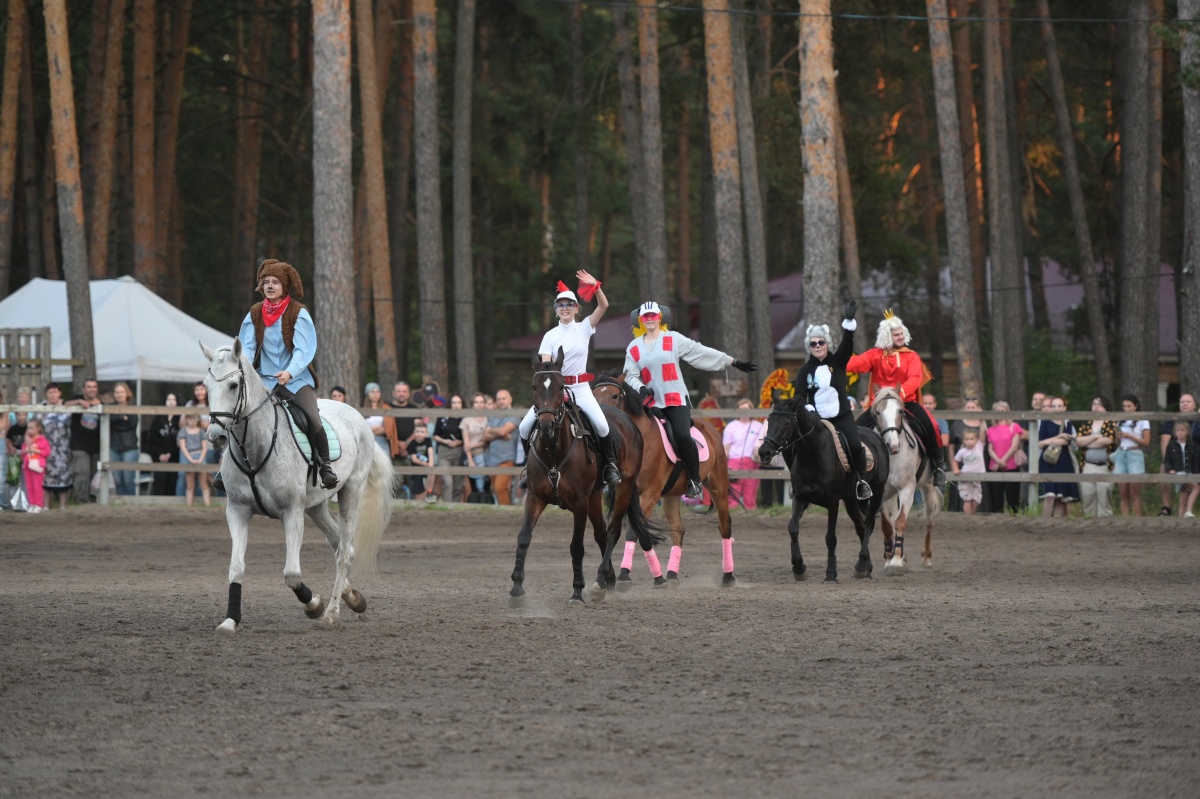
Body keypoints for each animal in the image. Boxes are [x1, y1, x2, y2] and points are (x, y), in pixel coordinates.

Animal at [201, 338, 393, 633]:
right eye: (206, 386)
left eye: (233, 385)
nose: (216, 436)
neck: (253, 448)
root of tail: (356, 415)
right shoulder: (237, 511)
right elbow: (236, 568)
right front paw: (230, 620)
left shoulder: (291, 512)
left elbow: (291, 574)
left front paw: (314, 605)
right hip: (315, 506)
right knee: (337, 542)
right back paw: (353, 598)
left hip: (351, 491)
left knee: (345, 552)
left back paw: (332, 612)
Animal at [501, 345, 662, 599]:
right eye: (535, 387)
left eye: (560, 386)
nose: (545, 426)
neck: (554, 451)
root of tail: (628, 421)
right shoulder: (535, 497)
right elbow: (524, 537)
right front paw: (516, 586)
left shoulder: (578, 503)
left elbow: (576, 546)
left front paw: (577, 591)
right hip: (595, 496)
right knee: (601, 533)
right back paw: (608, 579)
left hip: (623, 488)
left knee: (612, 531)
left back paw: (600, 579)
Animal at [592, 371, 739, 585]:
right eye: (593, 395)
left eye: (615, 396)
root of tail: (710, 428)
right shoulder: (626, 492)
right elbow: (634, 531)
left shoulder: (650, 494)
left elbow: (632, 532)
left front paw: (624, 574)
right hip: (671, 494)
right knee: (678, 530)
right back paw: (671, 573)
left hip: (717, 484)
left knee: (725, 525)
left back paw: (728, 575)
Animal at [758, 391, 892, 578]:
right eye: (769, 421)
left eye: (786, 423)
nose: (763, 452)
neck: (812, 455)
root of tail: (877, 438)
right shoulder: (800, 497)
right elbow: (793, 528)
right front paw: (798, 567)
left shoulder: (833, 501)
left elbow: (830, 538)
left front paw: (831, 573)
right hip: (851, 499)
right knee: (860, 526)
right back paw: (865, 566)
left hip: (877, 492)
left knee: (869, 524)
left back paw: (861, 563)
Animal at [868, 386, 940, 573]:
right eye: (878, 412)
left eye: (900, 411)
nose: (893, 445)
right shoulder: (881, 492)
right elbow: (887, 525)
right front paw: (890, 558)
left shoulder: (907, 489)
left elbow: (900, 521)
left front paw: (896, 560)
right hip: (892, 494)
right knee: (893, 518)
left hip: (927, 486)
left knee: (929, 520)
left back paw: (926, 557)